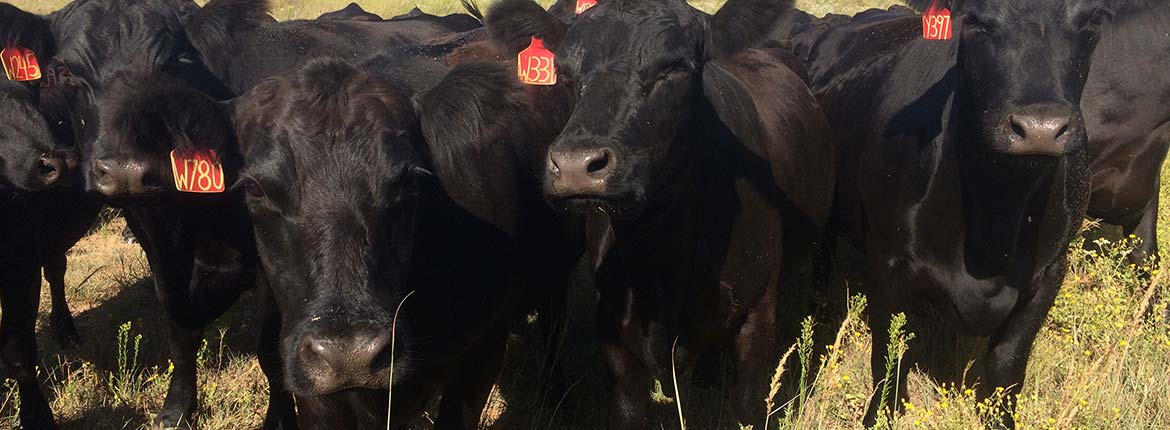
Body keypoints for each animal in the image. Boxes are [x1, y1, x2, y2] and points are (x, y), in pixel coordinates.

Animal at [484, 0, 836, 427]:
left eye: (675, 67)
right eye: (565, 75)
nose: (574, 165)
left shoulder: (758, 314)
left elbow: (748, 405)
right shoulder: (612, 330)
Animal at [789, 0, 1122, 426]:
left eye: (1093, 17)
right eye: (976, 18)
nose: (1039, 127)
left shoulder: (1050, 271)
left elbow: (1008, 363)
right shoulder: (887, 259)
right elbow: (888, 352)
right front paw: (879, 416)